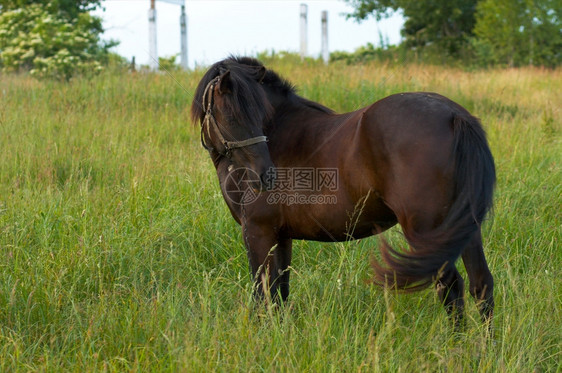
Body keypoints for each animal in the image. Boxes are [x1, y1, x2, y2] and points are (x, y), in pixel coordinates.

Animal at [192, 56, 494, 326]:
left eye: (259, 114)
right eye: (232, 116)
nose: (265, 175)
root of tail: (455, 116)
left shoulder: (258, 230)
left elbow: (262, 291)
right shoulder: (282, 235)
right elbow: (280, 291)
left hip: (428, 232)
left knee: (451, 288)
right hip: (464, 228)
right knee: (481, 284)